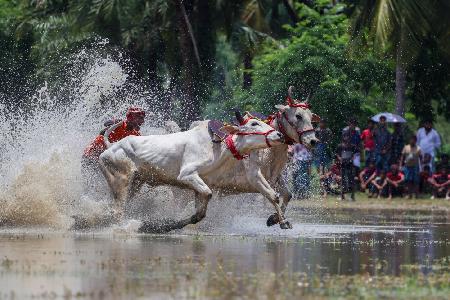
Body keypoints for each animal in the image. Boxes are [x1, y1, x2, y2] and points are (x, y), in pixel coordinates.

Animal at [99, 111, 284, 233]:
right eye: (254, 123)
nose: (279, 135)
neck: (220, 146)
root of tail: (111, 147)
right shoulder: (187, 174)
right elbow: (208, 195)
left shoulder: (201, 182)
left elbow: (200, 212)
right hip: (121, 179)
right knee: (117, 209)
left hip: (136, 182)